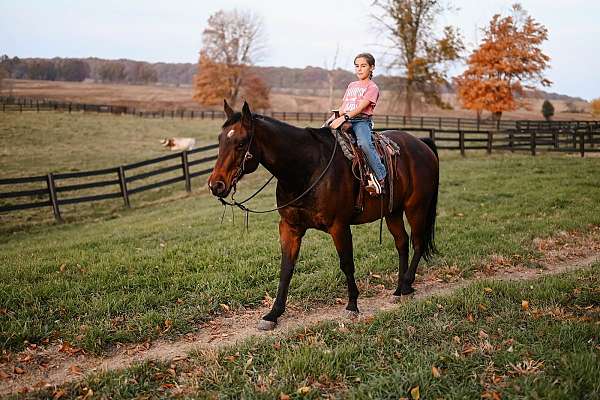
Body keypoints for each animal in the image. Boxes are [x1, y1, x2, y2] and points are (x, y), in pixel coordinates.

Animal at [209, 101, 438, 332]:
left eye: (241, 143)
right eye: (220, 140)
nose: (215, 185)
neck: (306, 168)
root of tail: (421, 144)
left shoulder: (339, 227)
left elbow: (346, 263)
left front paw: (352, 305)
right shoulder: (290, 227)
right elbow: (286, 268)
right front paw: (273, 314)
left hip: (416, 207)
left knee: (417, 243)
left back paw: (407, 284)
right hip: (393, 212)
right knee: (402, 243)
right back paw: (400, 290)